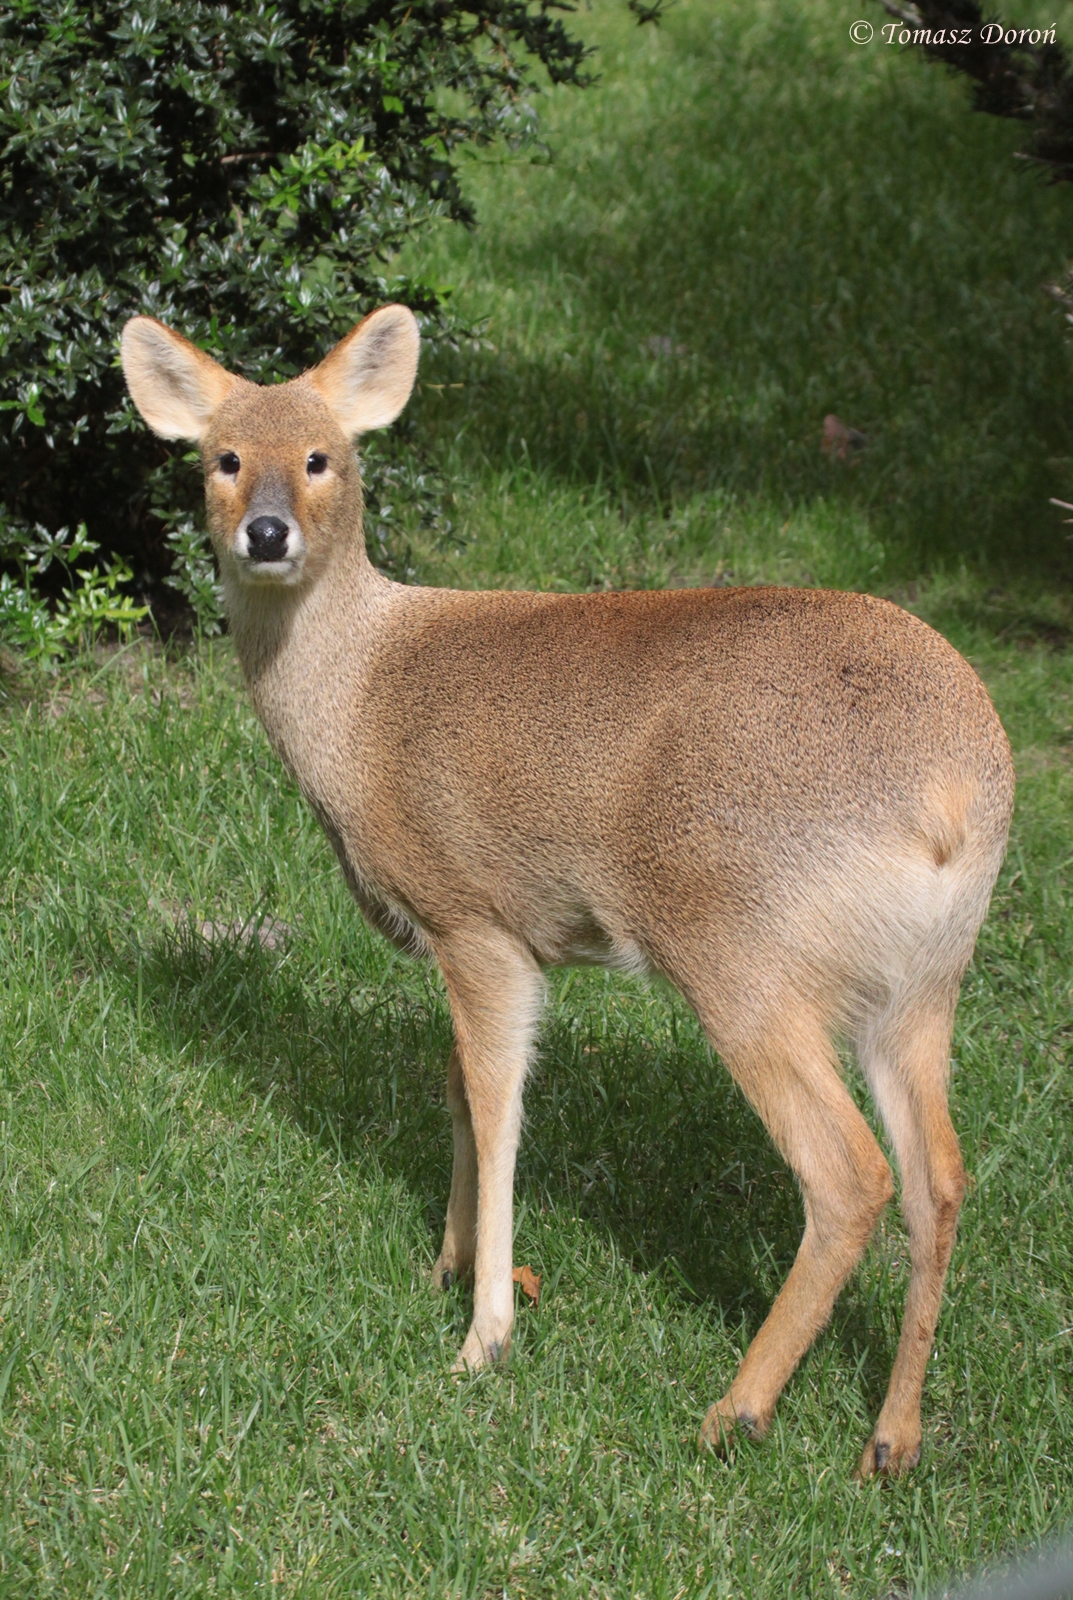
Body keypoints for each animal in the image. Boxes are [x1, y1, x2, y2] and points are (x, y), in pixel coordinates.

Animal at [122, 304, 1014, 1477]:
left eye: (321, 457)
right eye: (222, 459)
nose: (266, 533)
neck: (358, 700)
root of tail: (958, 795)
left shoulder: (477, 915)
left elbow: (497, 1105)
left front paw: (484, 1333)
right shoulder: (464, 937)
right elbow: (455, 1088)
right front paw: (446, 1267)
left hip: (739, 951)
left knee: (847, 1172)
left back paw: (736, 1409)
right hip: (917, 987)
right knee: (937, 1176)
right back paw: (890, 1438)